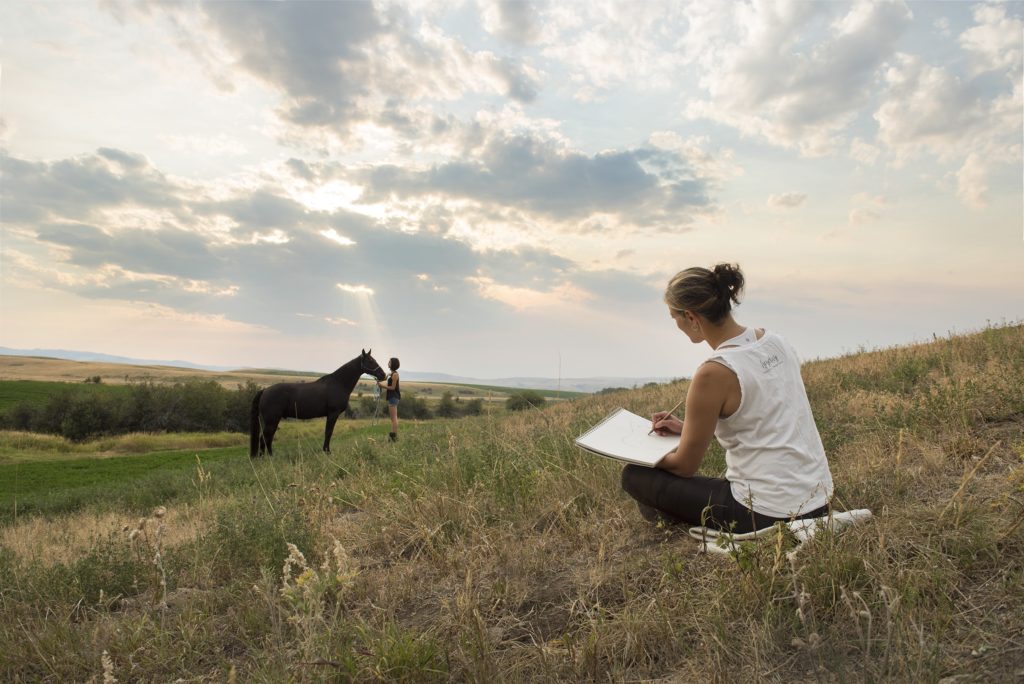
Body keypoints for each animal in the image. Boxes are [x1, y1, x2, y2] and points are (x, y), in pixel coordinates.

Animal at [249, 350, 385, 456]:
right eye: (371, 361)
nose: (383, 375)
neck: (338, 383)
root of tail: (265, 390)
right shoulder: (333, 414)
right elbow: (328, 432)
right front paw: (327, 451)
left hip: (273, 420)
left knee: (268, 438)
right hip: (272, 420)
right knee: (264, 438)